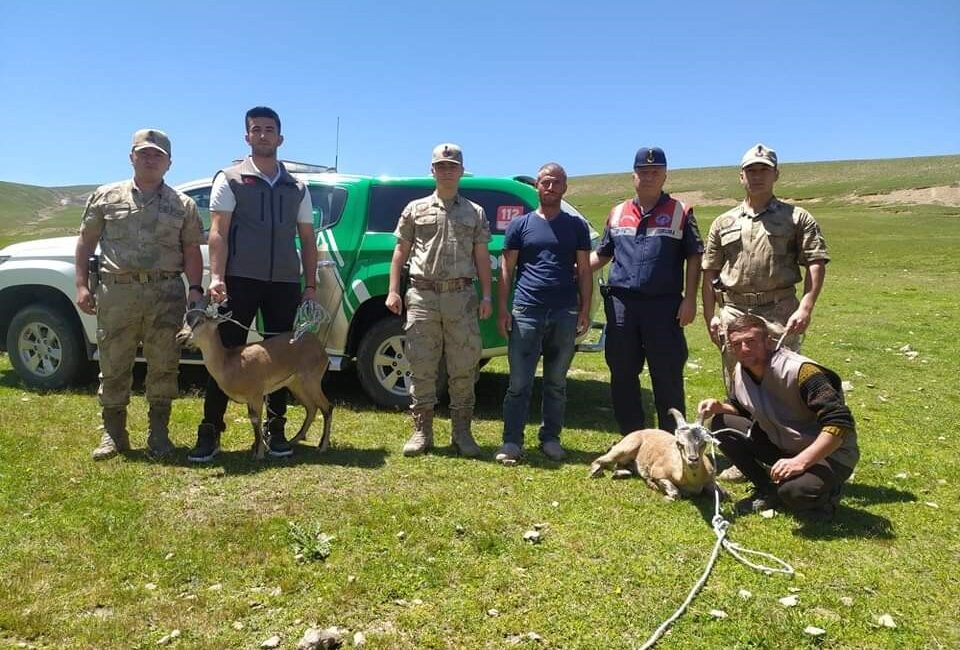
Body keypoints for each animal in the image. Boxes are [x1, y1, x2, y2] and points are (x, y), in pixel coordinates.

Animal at [176, 300, 334, 458]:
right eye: (184, 320)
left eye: (200, 321)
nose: (180, 336)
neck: (228, 363)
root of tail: (320, 348)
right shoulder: (250, 399)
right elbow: (253, 420)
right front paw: (258, 449)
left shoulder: (256, 394)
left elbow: (256, 419)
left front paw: (259, 453)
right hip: (296, 384)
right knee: (312, 407)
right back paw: (293, 441)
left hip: (311, 381)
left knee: (327, 406)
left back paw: (322, 447)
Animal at [588, 408, 724, 498]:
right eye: (679, 443)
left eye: (703, 443)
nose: (693, 459)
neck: (692, 482)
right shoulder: (659, 472)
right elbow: (675, 493)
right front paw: (655, 486)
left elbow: (722, 494)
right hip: (626, 447)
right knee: (600, 460)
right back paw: (596, 472)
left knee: (619, 466)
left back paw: (619, 473)